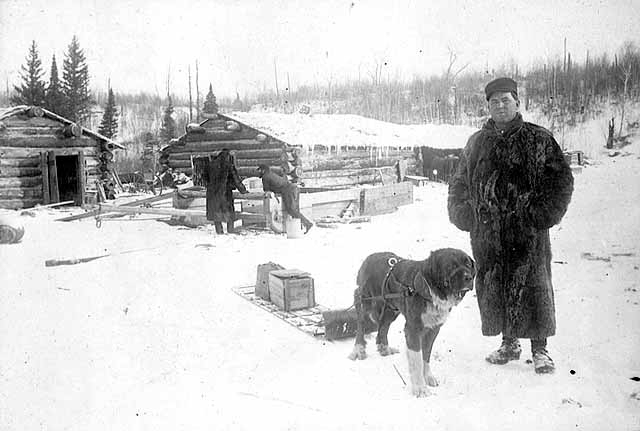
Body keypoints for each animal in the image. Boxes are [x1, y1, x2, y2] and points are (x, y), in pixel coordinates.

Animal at [344, 250, 476, 398]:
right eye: (451, 266)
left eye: (467, 264)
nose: (468, 277)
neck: (428, 290)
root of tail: (368, 258)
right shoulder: (413, 329)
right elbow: (417, 359)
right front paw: (420, 388)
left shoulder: (433, 330)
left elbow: (426, 355)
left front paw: (428, 377)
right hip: (366, 301)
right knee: (361, 324)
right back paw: (358, 349)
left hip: (391, 308)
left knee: (383, 327)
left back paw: (385, 348)